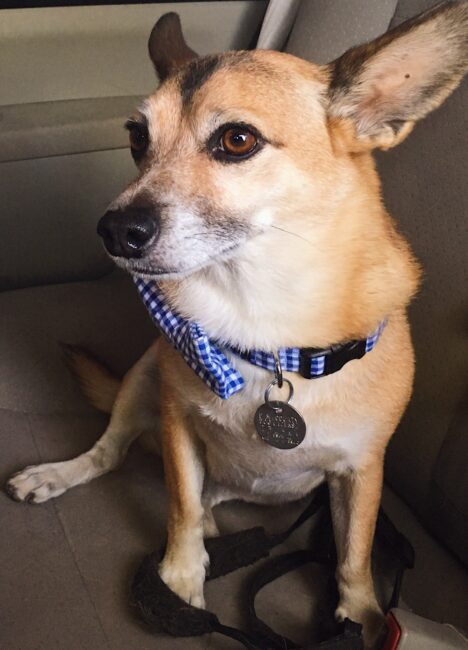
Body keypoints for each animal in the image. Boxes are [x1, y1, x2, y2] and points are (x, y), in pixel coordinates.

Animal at [8, 3, 468, 644]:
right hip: (142, 379)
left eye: (237, 139)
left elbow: (354, 551)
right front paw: (178, 579)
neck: (261, 319)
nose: (115, 230)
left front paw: (361, 617)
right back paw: (60, 475)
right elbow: (179, 506)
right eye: (137, 137)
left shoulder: (362, 471)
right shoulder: (177, 424)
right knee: (117, 456)